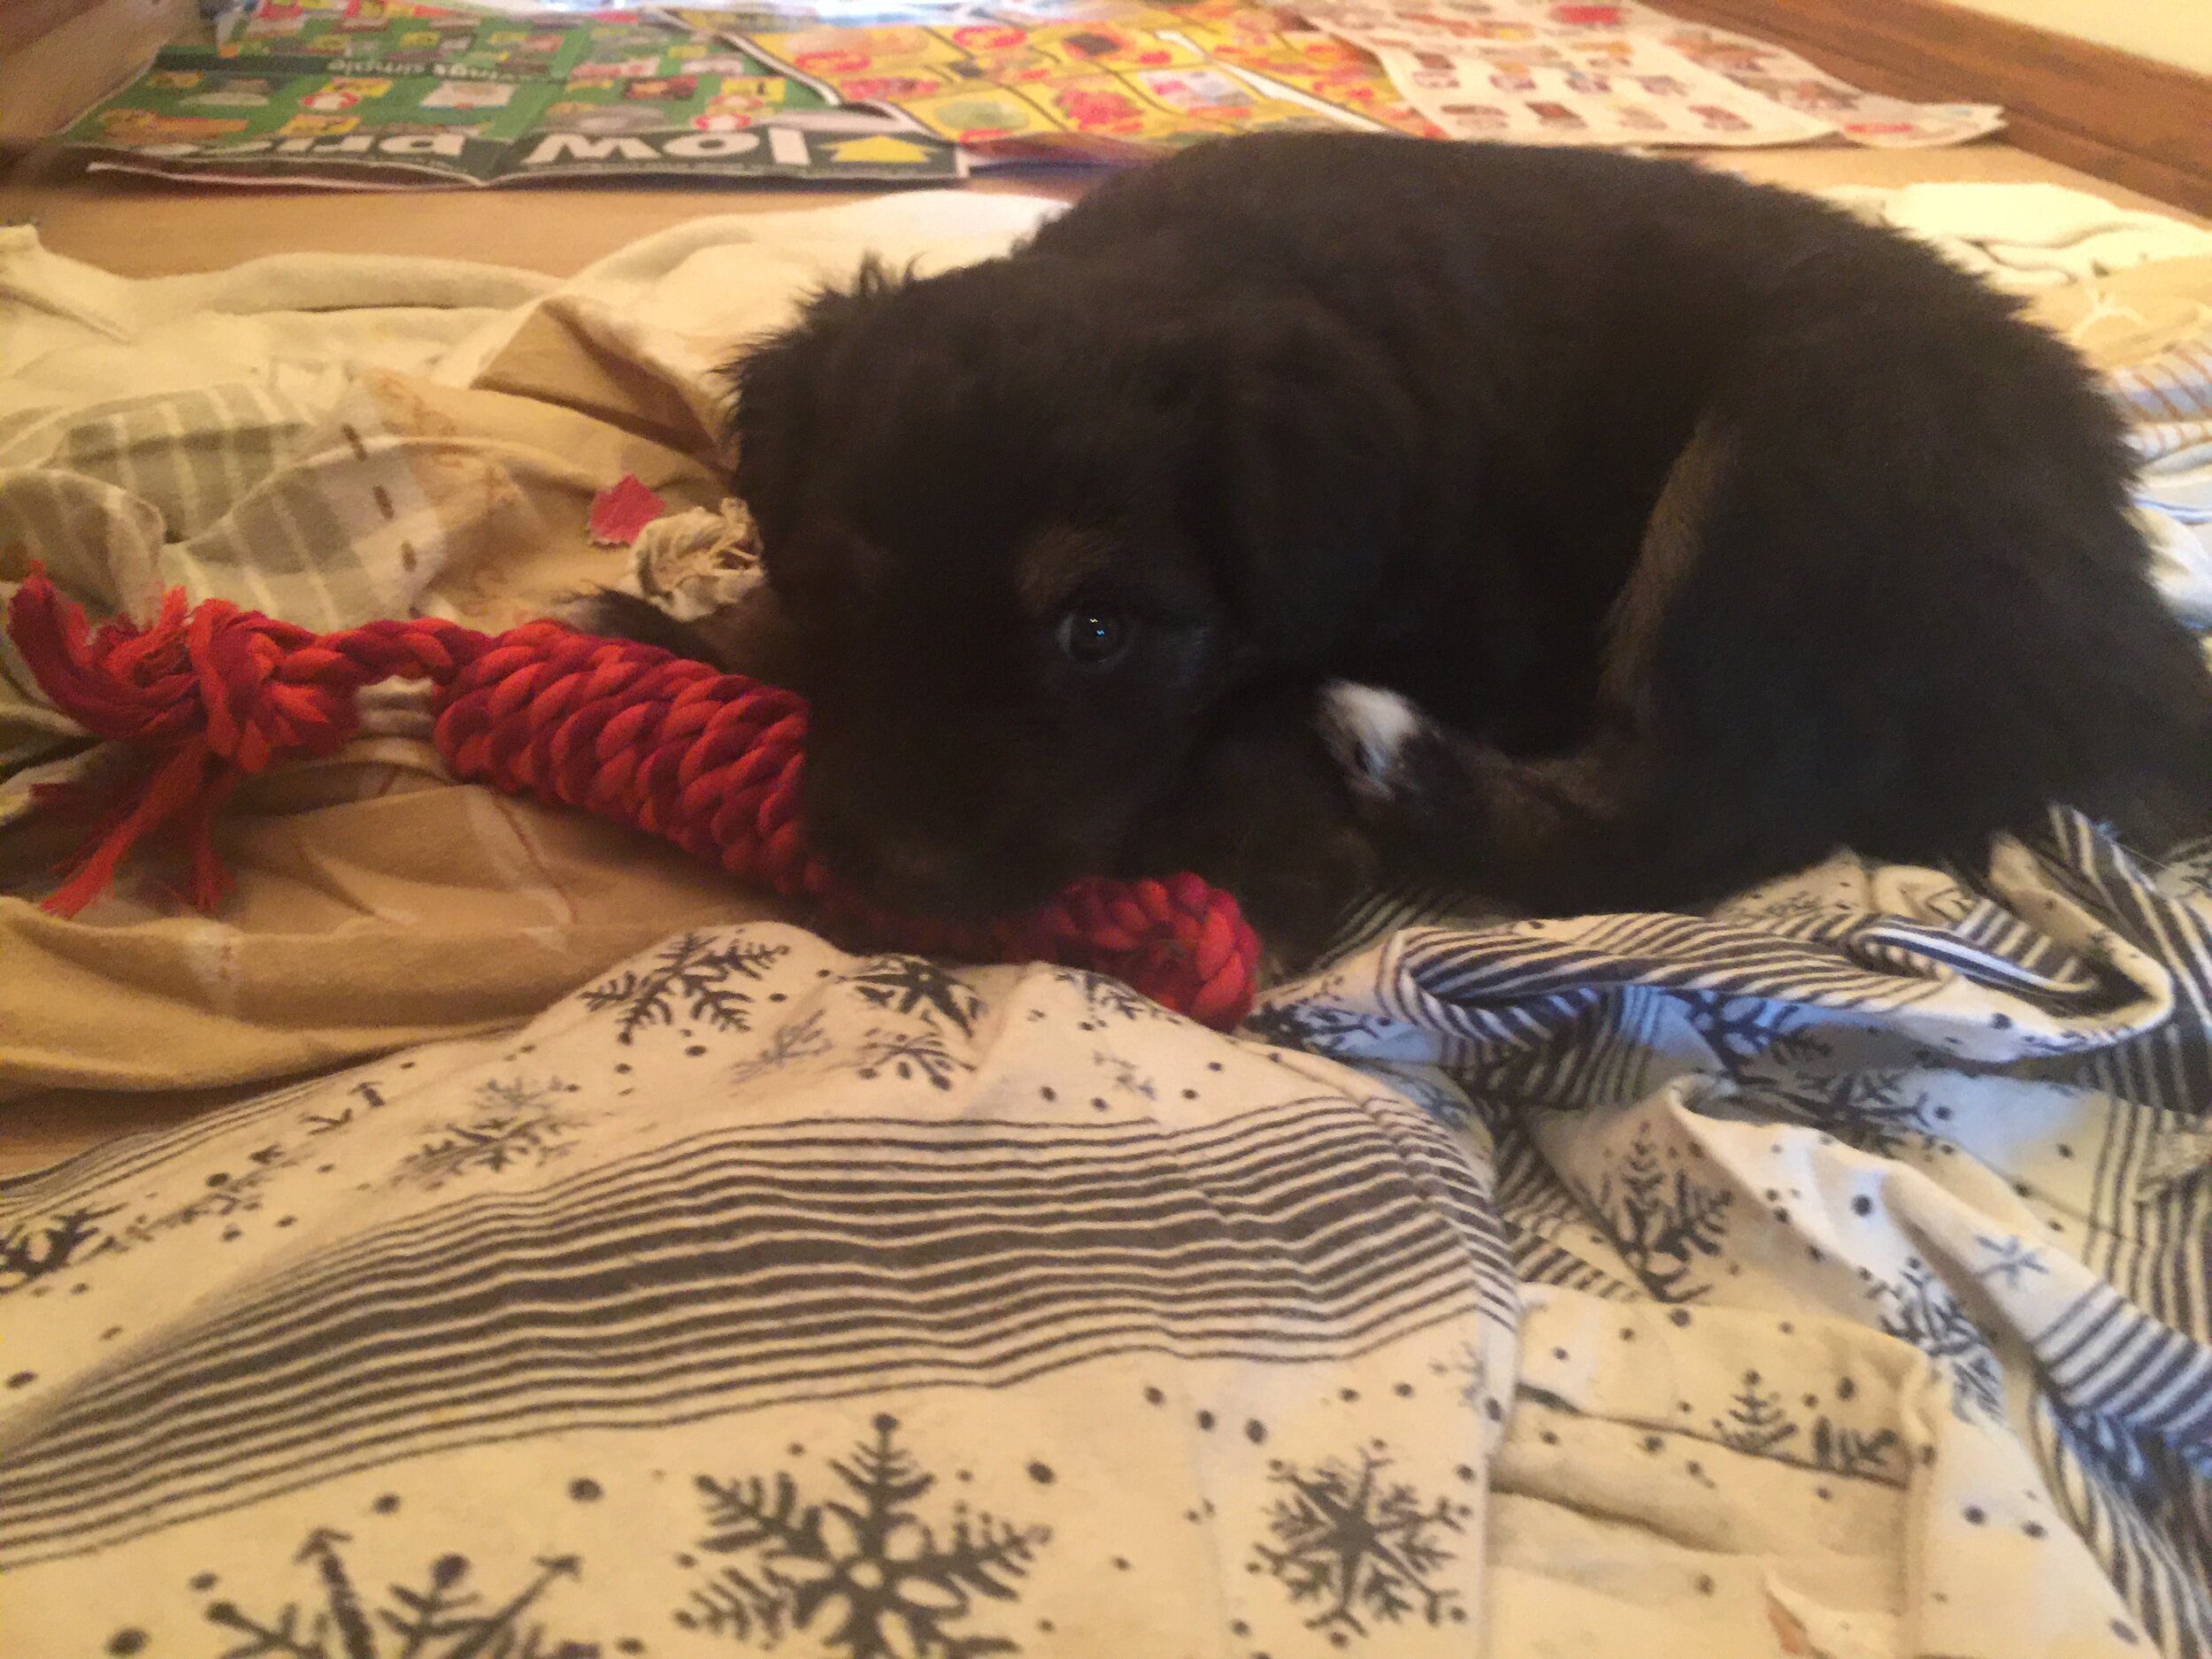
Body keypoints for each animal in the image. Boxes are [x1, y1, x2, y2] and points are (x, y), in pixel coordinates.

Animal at [593, 136, 2212, 969]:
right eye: (837, 590)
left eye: (1097, 635)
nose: (898, 879)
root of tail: (2129, 623)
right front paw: (682, 629)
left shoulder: (1475, 615)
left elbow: (1252, 694)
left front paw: (1276, 838)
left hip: (1802, 456)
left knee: (1703, 810)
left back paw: (1389, 757)